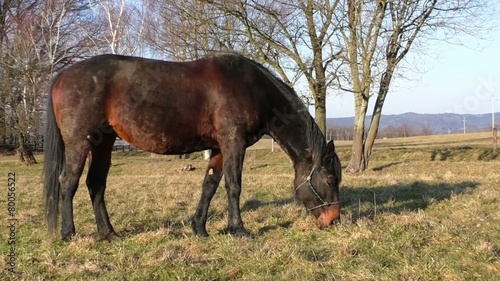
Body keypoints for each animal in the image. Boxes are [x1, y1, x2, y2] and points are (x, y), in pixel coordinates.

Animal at [43, 53, 342, 241]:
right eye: (329, 178)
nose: (334, 220)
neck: (252, 87)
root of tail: (63, 75)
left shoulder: (220, 148)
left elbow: (209, 186)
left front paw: (200, 228)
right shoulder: (234, 143)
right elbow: (234, 186)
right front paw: (238, 229)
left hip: (103, 143)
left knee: (96, 184)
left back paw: (109, 234)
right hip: (80, 142)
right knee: (68, 181)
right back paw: (68, 233)